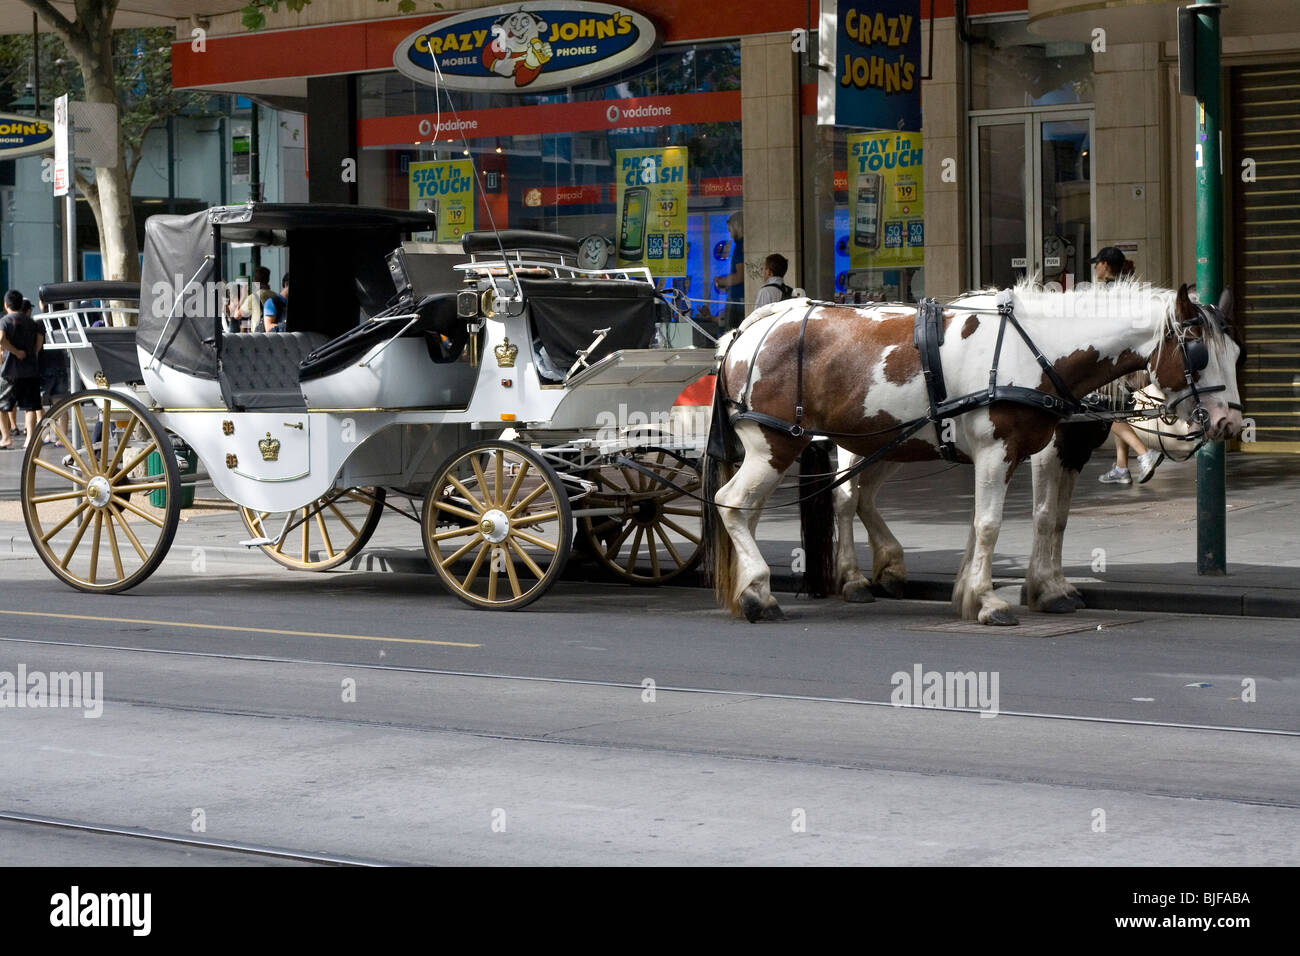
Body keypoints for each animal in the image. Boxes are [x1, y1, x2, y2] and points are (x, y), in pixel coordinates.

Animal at [707, 280, 1242, 624]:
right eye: (1198, 353)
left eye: (1236, 353)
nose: (1228, 422)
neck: (1037, 350)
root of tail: (747, 331)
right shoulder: (1002, 451)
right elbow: (997, 523)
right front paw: (991, 600)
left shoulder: (1027, 451)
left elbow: (1039, 520)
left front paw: (995, 590)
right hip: (775, 444)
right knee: (735, 504)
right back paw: (760, 594)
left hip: (873, 443)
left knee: (830, 501)